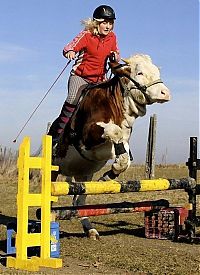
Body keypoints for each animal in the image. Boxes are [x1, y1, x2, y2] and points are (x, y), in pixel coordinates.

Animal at [51, 54, 170, 239]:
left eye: (157, 71)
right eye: (139, 73)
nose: (165, 93)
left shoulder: (107, 149)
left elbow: (125, 157)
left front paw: (108, 176)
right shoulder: (86, 137)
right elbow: (114, 131)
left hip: (84, 175)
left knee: (79, 200)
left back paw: (89, 229)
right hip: (53, 169)